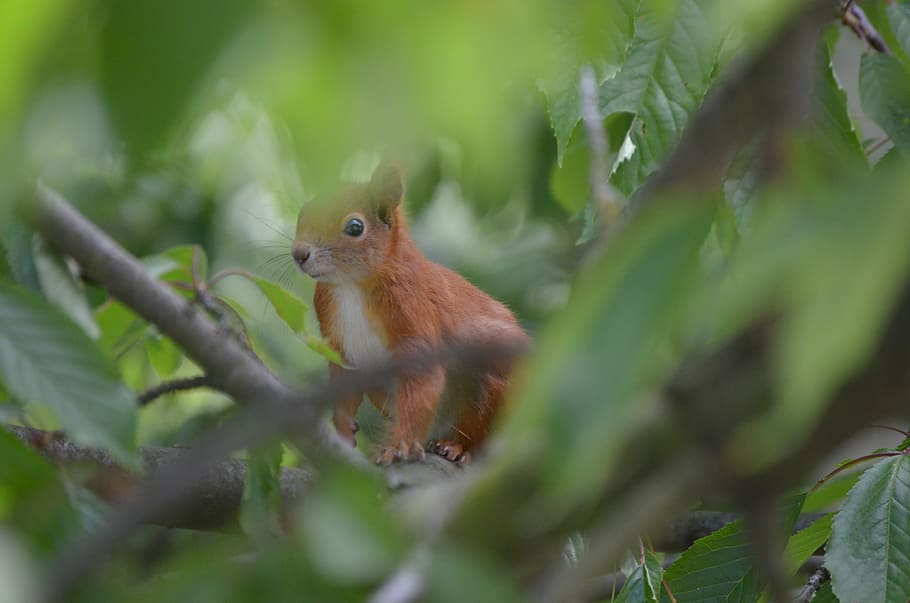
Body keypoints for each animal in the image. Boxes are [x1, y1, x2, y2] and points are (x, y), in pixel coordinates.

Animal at [291, 163, 529, 465]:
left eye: (355, 227)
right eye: (304, 211)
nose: (299, 253)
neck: (352, 286)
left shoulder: (413, 311)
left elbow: (422, 381)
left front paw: (400, 446)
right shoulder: (336, 338)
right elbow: (343, 381)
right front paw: (343, 428)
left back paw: (454, 446)